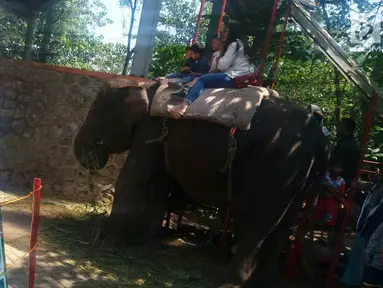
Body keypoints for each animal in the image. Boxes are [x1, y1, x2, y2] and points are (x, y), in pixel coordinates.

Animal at [75, 81, 330, 288]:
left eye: (94, 113)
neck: (144, 85)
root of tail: (321, 141)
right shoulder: (159, 137)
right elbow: (158, 185)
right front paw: (141, 250)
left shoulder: (150, 128)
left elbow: (133, 177)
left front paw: (107, 247)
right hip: (298, 180)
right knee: (283, 225)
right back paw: (263, 283)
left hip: (276, 168)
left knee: (258, 223)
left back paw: (229, 284)